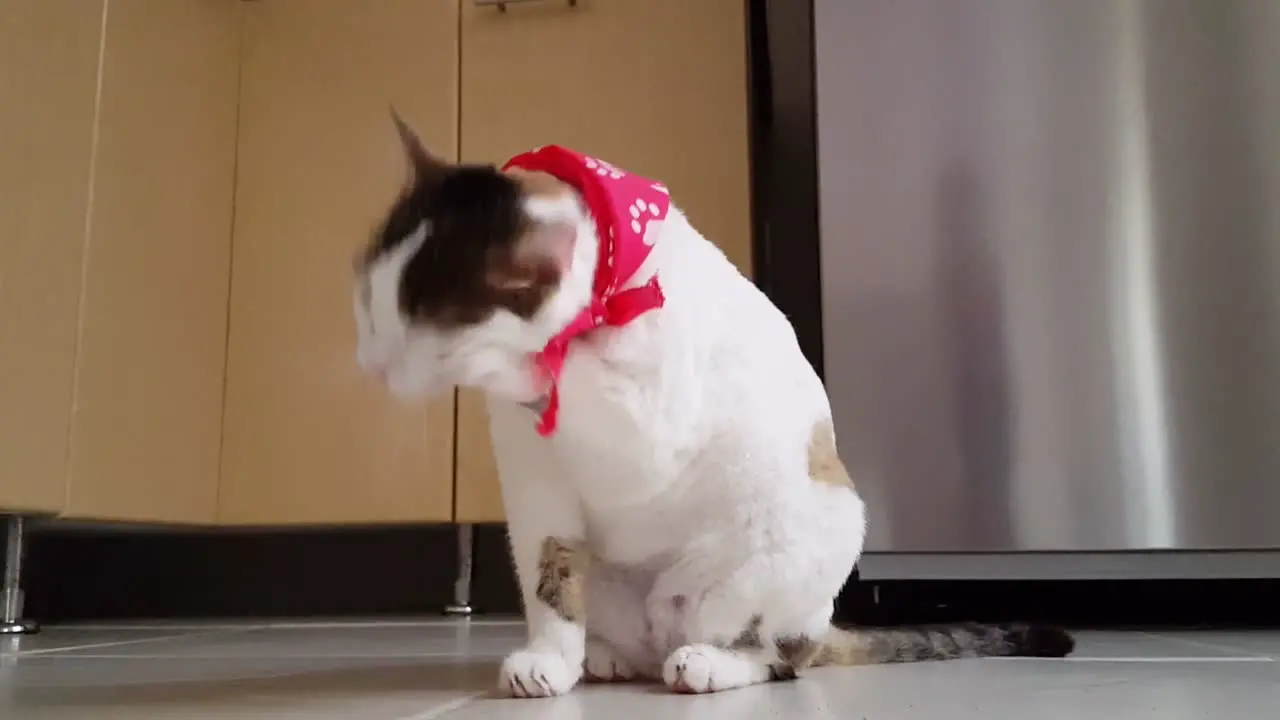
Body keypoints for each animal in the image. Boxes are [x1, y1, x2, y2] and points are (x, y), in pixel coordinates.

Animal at [348, 113, 1070, 696]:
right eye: (367, 295)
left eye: (426, 325)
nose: (371, 361)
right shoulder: (534, 485)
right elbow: (551, 576)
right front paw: (549, 659)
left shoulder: (646, 416)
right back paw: (605, 656)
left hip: (799, 550)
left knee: (780, 656)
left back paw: (709, 663)